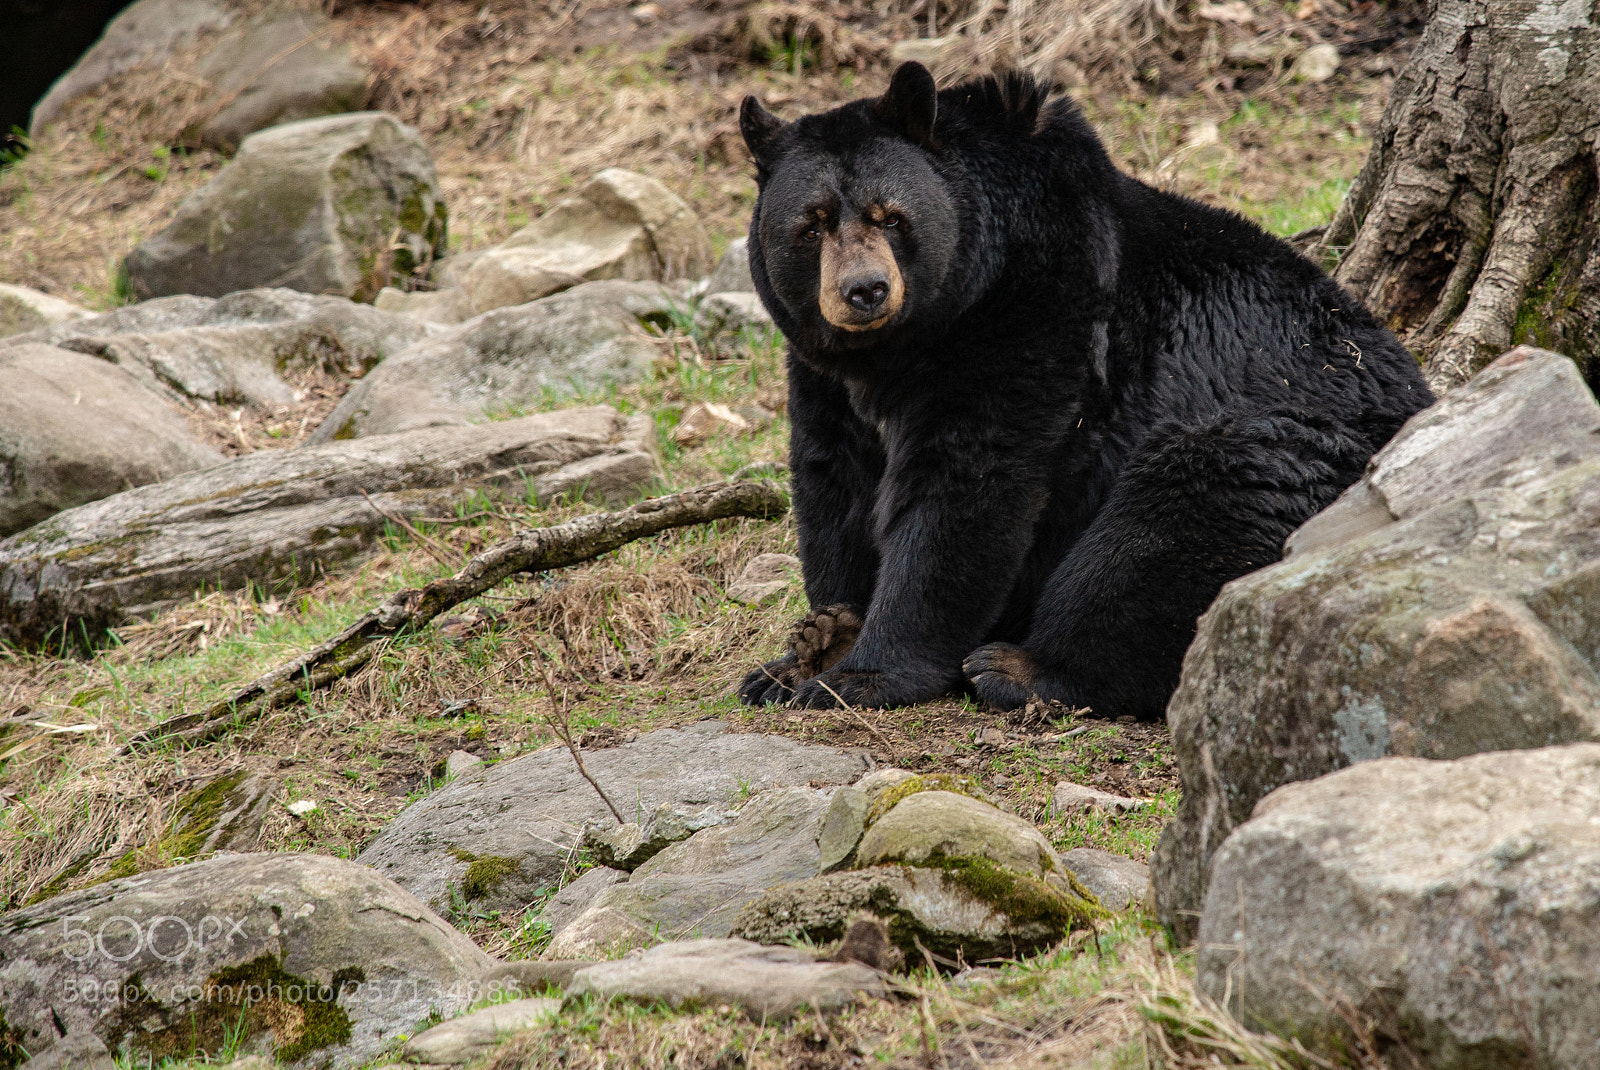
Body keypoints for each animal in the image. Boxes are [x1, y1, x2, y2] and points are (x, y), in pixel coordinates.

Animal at [735, 62, 1433, 718]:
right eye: (811, 225)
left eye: (891, 216)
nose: (865, 290)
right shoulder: (825, 376)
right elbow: (833, 481)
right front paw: (813, 643)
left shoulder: (1034, 309)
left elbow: (968, 483)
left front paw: (860, 673)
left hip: (1294, 457)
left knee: (1173, 520)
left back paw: (1020, 669)